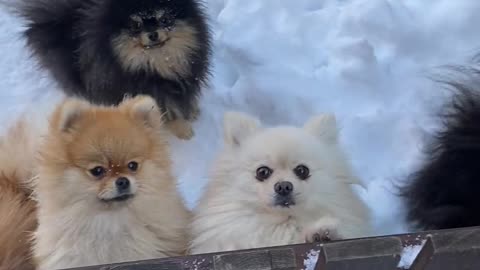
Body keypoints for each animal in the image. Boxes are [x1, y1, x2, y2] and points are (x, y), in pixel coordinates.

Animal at [17, 0, 212, 139]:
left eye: (164, 19)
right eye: (136, 25)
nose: (153, 34)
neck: (158, 63)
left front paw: (192, 111)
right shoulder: (149, 91)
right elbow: (168, 111)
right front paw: (183, 130)